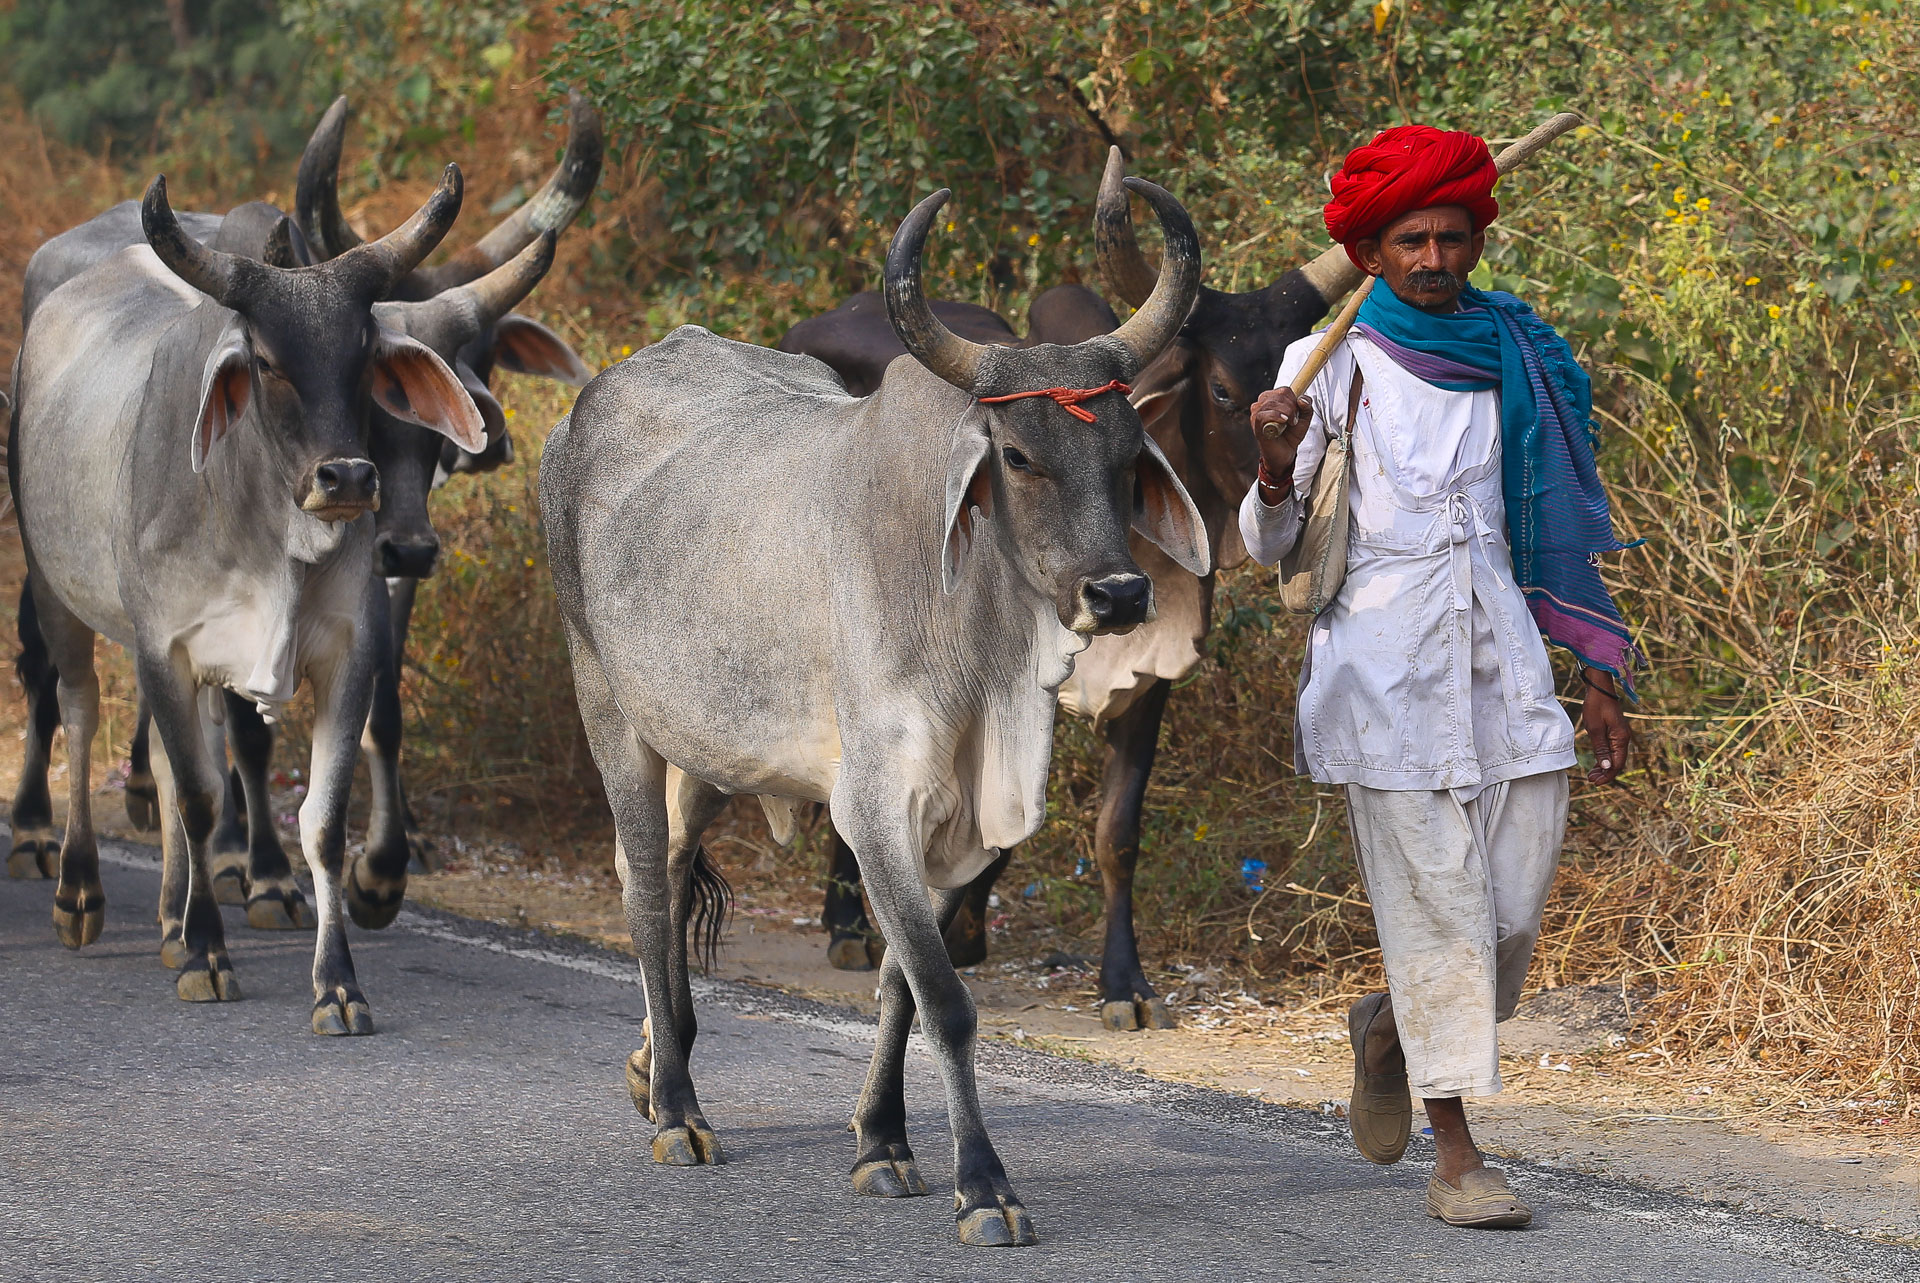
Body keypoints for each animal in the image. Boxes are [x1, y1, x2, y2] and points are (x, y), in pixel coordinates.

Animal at [13, 172, 487, 1029]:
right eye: (266, 361)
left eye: (364, 353)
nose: (348, 478)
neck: (274, 541)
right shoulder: (164, 646)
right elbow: (203, 799)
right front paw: (208, 953)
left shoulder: (346, 656)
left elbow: (320, 821)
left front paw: (337, 984)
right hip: (57, 592)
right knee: (78, 709)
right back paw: (79, 889)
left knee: (166, 764)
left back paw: (169, 920)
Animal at [541, 175, 1198, 1244]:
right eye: (1018, 454)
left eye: (1131, 451)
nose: (1120, 593)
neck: (978, 649)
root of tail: (584, 408)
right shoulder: (875, 804)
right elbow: (945, 995)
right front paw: (985, 1185)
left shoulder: (956, 827)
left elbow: (901, 985)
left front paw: (883, 1141)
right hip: (611, 708)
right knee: (642, 891)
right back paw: (677, 1109)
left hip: (711, 744)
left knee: (672, 871)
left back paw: (655, 1062)